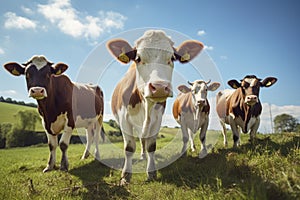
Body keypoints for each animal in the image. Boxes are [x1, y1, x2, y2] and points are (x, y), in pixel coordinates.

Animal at [106, 29, 205, 184]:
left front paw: (151, 172)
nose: (159, 87)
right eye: (138, 58)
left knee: (143, 139)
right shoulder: (123, 120)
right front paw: (125, 176)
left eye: (172, 58)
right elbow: (129, 147)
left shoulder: (157, 119)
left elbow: (151, 146)